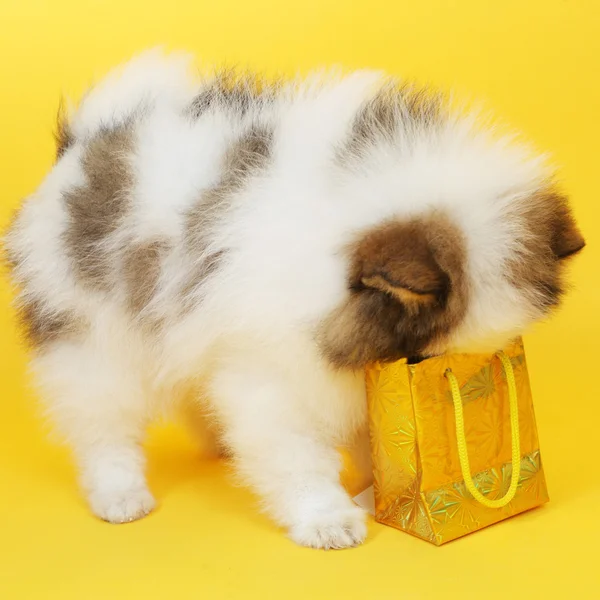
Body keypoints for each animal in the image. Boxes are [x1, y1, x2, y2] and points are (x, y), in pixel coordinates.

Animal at [3, 50, 584, 548]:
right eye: (418, 358)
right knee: (104, 425)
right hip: (92, 335)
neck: (331, 251)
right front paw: (328, 519)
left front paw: (382, 492)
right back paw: (120, 494)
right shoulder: (275, 374)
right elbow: (299, 457)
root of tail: (81, 144)